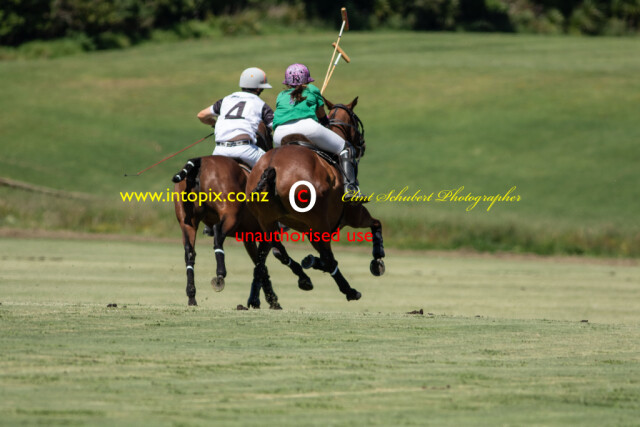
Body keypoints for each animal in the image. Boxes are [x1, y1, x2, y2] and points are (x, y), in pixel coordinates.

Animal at [172, 127, 312, 308]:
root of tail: (199, 163)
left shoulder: (249, 237)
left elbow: (261, 266)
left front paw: (264, 299)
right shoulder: (267, 234)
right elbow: (269, 261)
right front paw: (299, 282)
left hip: (188, 222)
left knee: (189, 252)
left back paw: (192, 296)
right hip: (230, 214)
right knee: (218, 234)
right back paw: (220, 275)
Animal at [245, 97, 385, 306]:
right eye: (355, 121)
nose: (362, 144)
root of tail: (271, 168)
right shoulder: (353, 214)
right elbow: (376, 223)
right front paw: (377, 259)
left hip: (268, 221)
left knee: (266, 256)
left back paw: (258, 297)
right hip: (318, 222)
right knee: (327, 257)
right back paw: (349, 291)